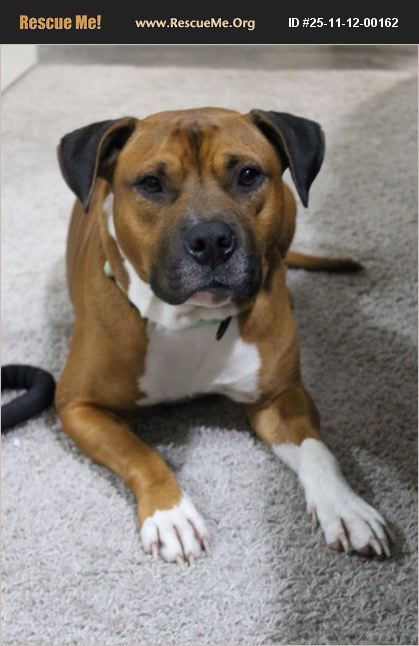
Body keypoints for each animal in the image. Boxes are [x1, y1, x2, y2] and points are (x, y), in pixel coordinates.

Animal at [56, 107, 393, 564]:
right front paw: (171, 514)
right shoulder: (78, 406)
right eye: (151, 184)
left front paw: (345, 507)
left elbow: (318, 450)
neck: (190, 321)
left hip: (291, 211)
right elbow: (140, 453)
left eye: (248, 175)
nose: (211, 240)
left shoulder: (281, 398)